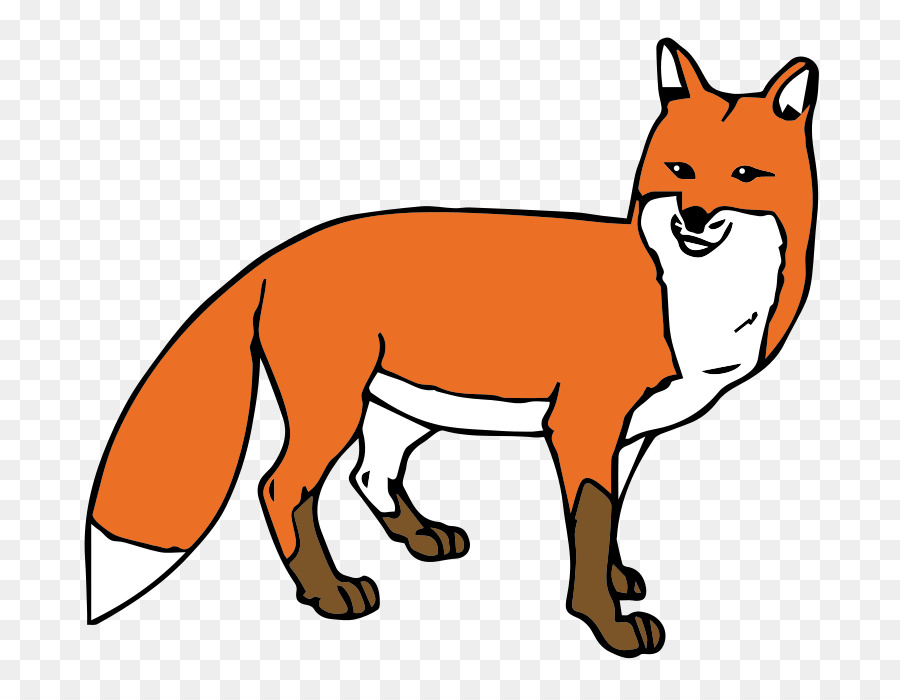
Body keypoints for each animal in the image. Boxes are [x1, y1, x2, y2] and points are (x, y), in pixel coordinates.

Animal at [85, 39, 818, 658]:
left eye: (745, 174)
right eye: (680, 169)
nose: (693, 216)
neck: (689, 300)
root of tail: (281, 253)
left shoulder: (631, 436)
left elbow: (608, 522)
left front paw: (617, 579)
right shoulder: (582, 425)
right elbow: (588, 526)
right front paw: (604, 623)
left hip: (403, 411)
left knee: (369, 473)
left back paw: (420, 537)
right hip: (334, 409)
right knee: (282, 487)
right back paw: (330, 592)